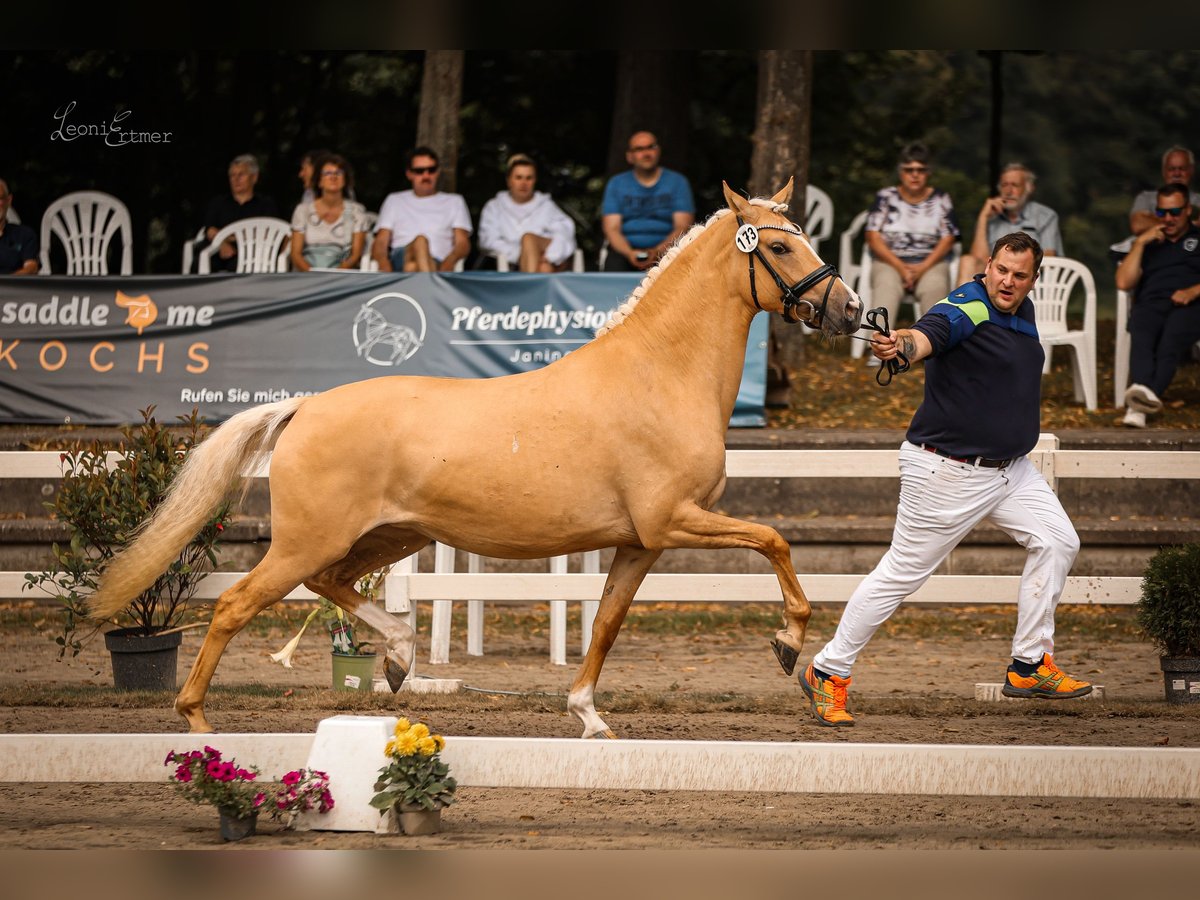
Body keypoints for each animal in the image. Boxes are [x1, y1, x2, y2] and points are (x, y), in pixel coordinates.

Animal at [93, 180, 864, 734]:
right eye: (781, 249)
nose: (852, 311)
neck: (658, 374)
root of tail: (306, 406)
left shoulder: (640, 542)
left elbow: (607, 623)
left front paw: (588, 716)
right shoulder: (674, 519)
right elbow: (775, 540)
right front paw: (788, 643)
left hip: (385, 537)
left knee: (332, 585)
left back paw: (399, 656)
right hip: (308, 541)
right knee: (235, 608)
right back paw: (197, 721)